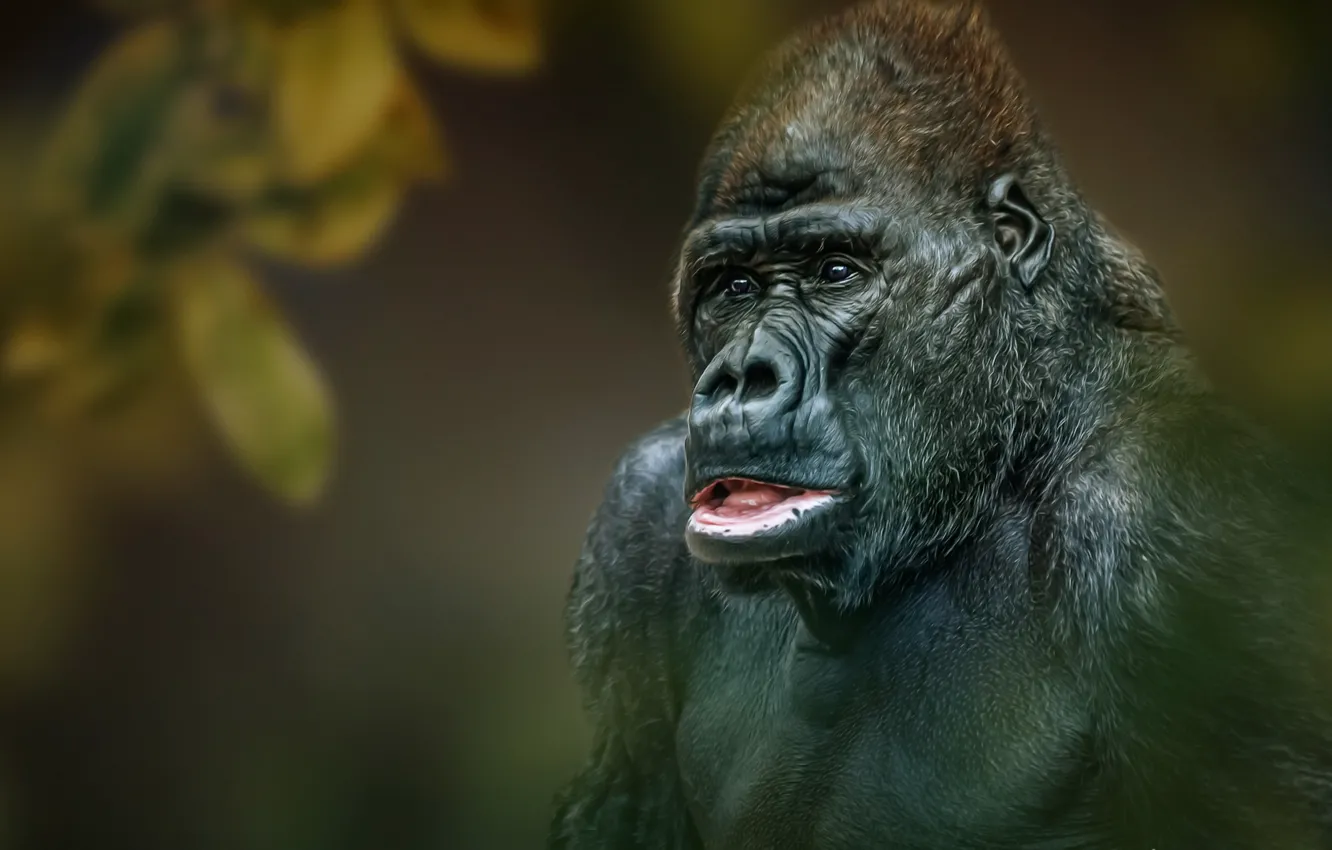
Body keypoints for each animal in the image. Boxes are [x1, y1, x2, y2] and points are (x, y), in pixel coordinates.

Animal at [547, 1, 1332, 847]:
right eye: (732, 287)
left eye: (835, 272)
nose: (741, 376)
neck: (1011, 448)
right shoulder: (637, 509)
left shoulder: (1168, 517)